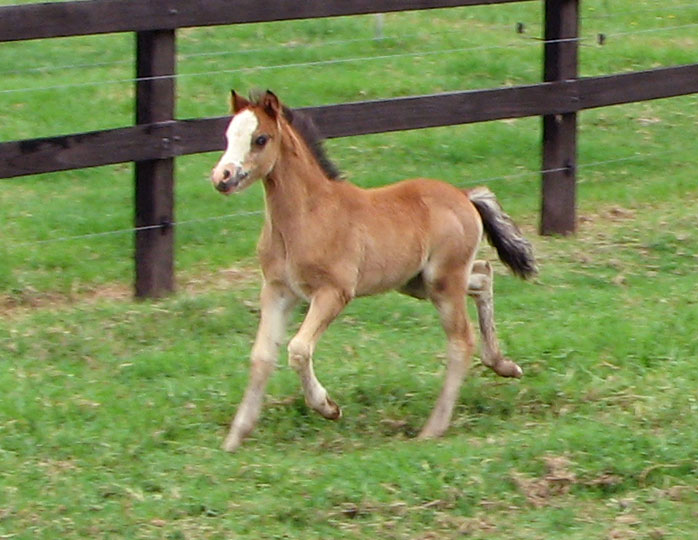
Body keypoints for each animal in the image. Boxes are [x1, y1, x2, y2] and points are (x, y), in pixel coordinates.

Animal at [210, 90, 537, 452]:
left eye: (260, 139)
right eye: (228, 136)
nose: (222, 177)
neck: (308, 215)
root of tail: (464, 196)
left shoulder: (334, 292)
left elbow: (298, 349)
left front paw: (328, 408)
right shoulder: (278, 290)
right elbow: (262, 356)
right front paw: (235, 437)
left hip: (443, 281)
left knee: (461, 340)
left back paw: (433, 428)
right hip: (418, 281)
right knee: (483, 273)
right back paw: (504, 365)